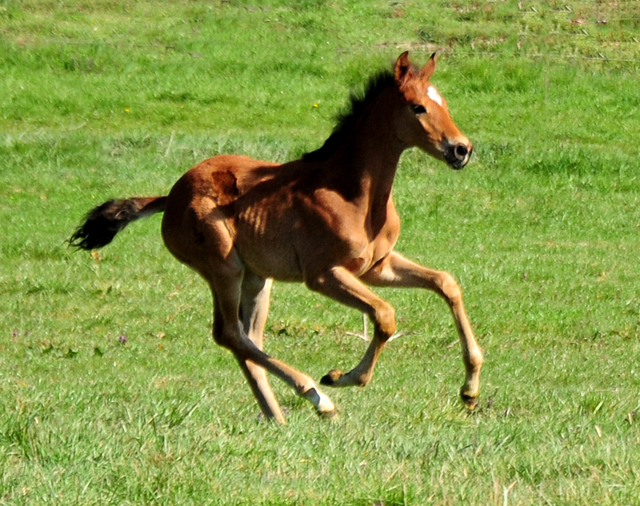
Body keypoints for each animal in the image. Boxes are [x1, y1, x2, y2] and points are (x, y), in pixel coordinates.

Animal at [72, 52, 482, 422]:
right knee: (228, 334)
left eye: (444, 103)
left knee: (247, 338)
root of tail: (169, 197)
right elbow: (385, 315)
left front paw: (470, 389)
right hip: (224, 269)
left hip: (258, 279)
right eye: (418, 107)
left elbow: (446, 283)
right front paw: (342, 377)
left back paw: (277, 416)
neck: (352, 193)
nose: (461, 149)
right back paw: (317, 397)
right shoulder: (323, 275)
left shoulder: (376, 267)